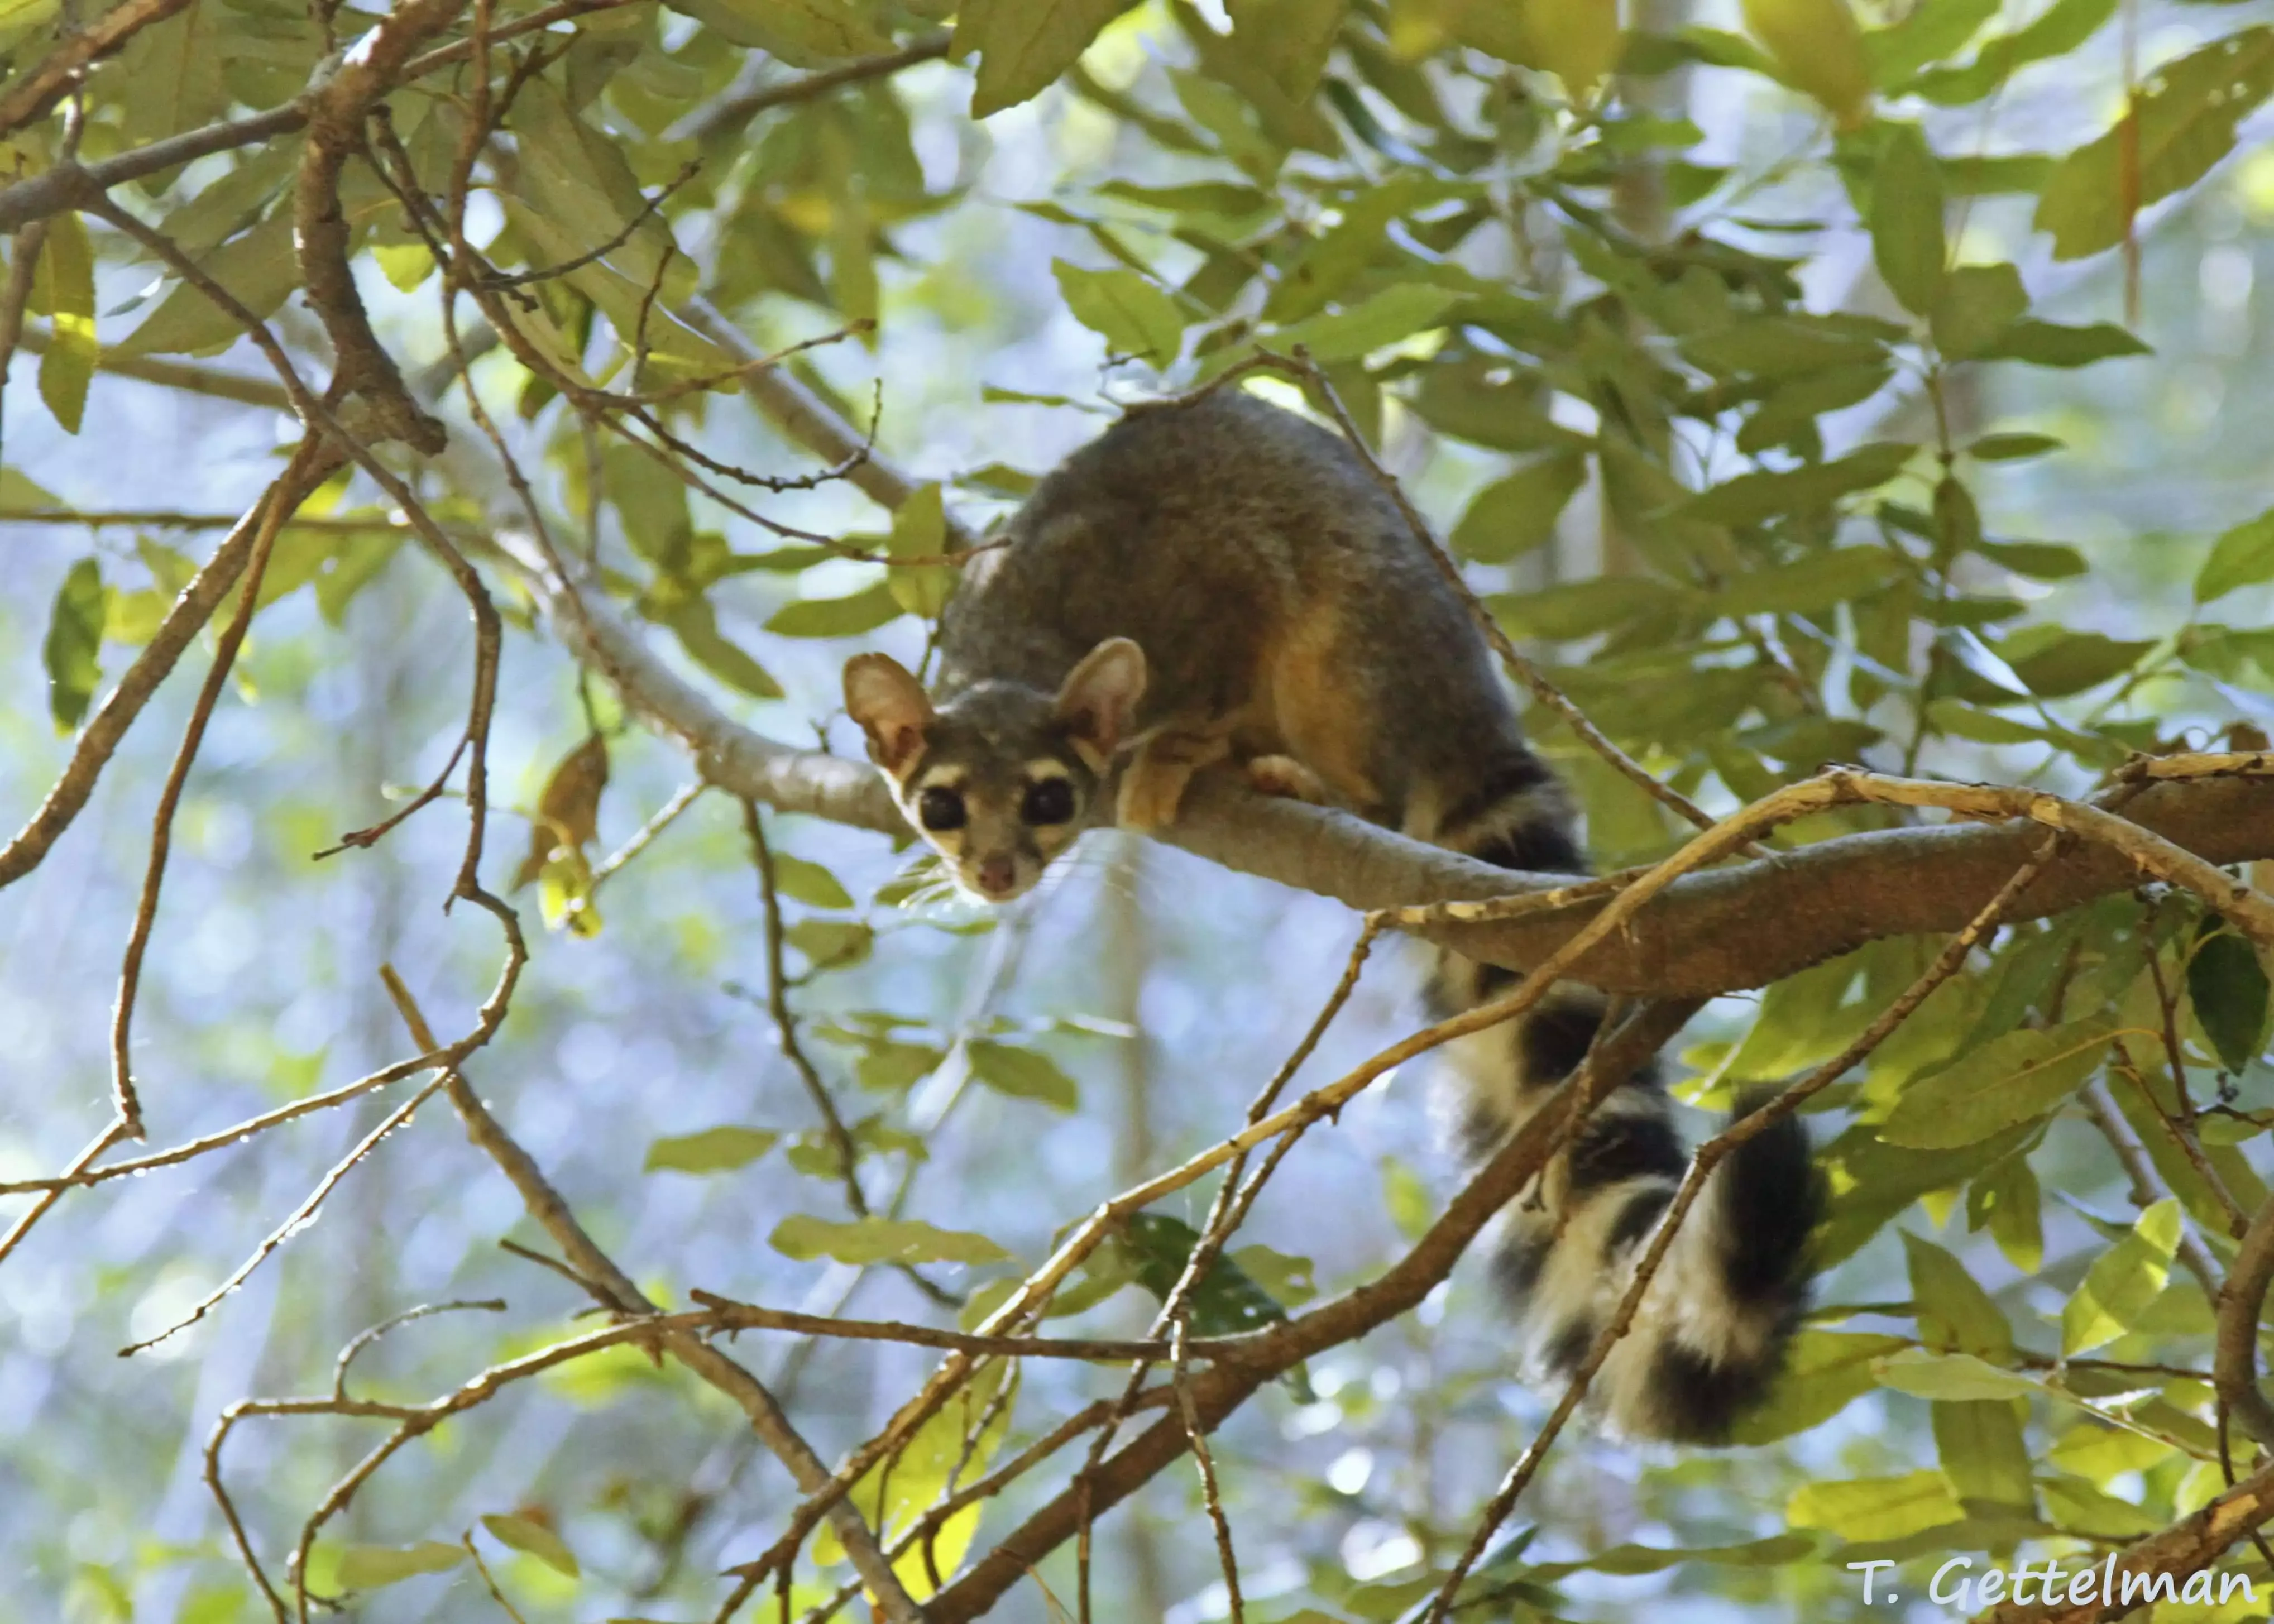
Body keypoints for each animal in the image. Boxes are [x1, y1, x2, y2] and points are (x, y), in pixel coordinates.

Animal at [846, 386, 1819, 1437]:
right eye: (941, 805)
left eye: (1047, 798)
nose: (993, 872)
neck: (1018, 660)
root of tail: (1467, 705)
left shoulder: (1203, 592)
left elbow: (1228, 636)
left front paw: (1183, 743)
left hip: (1366, 638)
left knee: (1339, 683)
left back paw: (1287, 770)